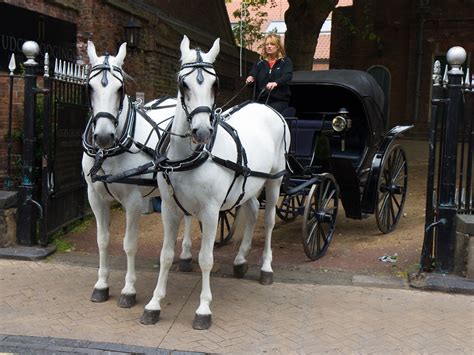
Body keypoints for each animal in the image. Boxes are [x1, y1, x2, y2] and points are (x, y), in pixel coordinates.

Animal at [82, 41, 193, 308]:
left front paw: (128, 290)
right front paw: (101, 285)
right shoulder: (95, 197)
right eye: (89, 87)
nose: (103, 136)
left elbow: (129, 244)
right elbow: (103, 240)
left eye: (120, 88)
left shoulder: (132, 201)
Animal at [141, 36, 288, 330]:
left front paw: (203, 309)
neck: (186, 155)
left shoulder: (210, 212)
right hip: (249, 184)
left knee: (268, 221)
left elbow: (206, 259)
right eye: (183, 83)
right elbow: (165, 256)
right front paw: (154, 304)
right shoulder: (169, 209)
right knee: (251, 211)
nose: (202, 132)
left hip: (274, 180)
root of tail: (265, 106)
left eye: (214, 83)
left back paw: (266, 268)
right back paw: (240, 260)